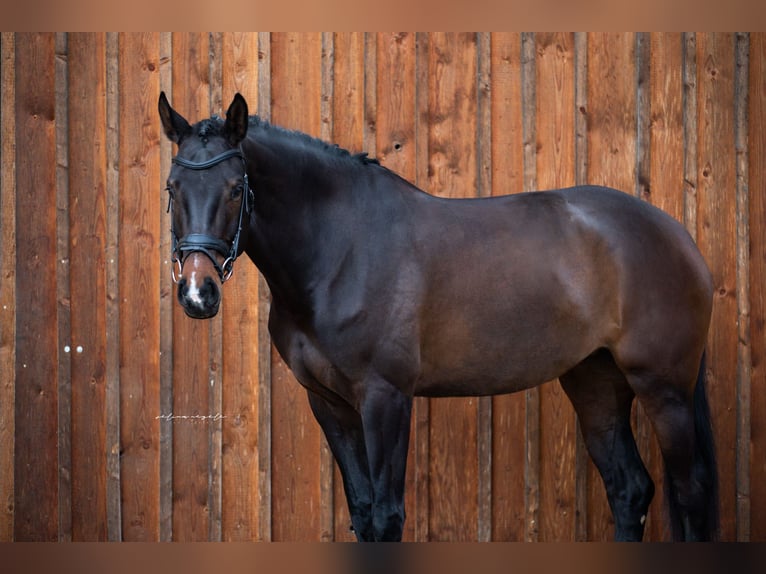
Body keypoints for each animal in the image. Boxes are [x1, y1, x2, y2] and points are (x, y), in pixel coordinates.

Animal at [156, 92, 720, 544]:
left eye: (235, 188)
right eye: (171, 189)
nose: (198, 292)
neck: (341, 248)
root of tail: (674, 233)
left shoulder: (385, 397)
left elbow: (386, 516)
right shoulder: (328, 403)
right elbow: (362, 511)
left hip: (663, 388)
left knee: (690, 491)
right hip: (596, 381)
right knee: (629, 489)